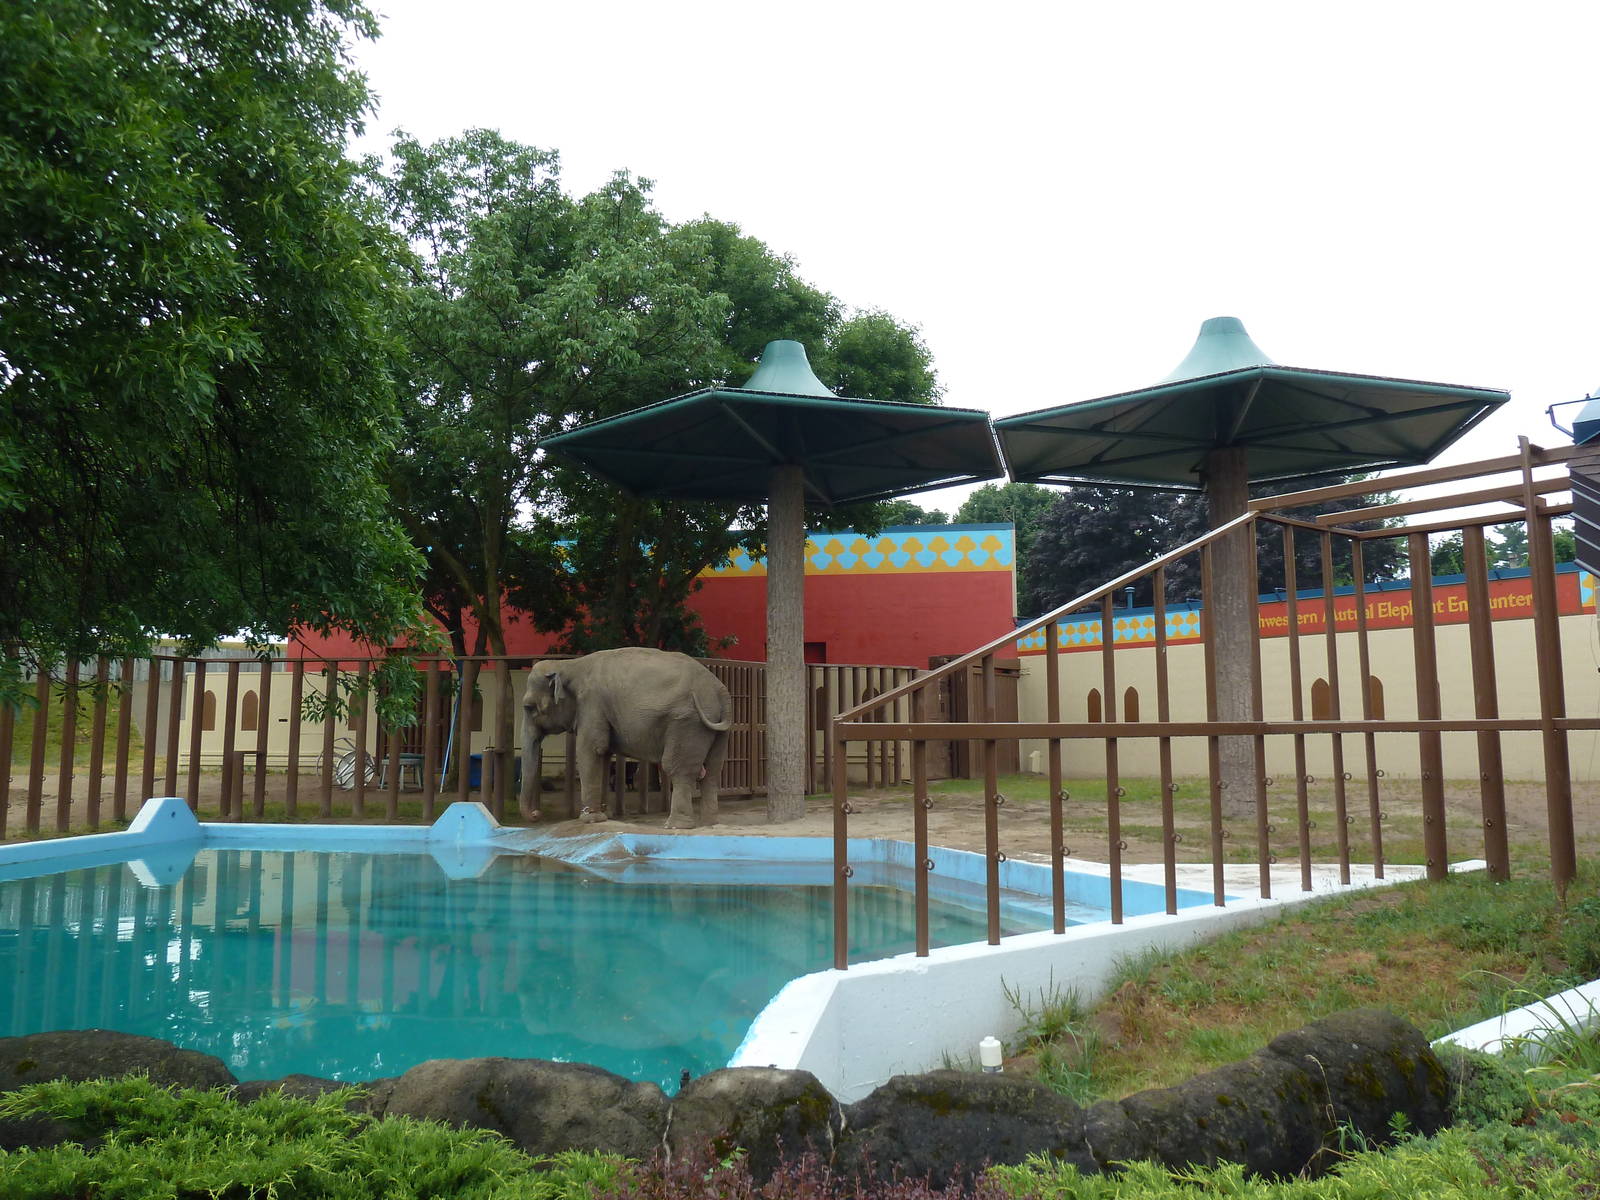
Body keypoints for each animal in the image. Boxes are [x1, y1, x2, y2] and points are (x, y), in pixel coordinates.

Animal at [519, 647, 733, 829]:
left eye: (529, 707)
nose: (537, 814)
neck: (569, 665)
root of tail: (720, 691)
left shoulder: (591, 705)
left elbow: (591, 750)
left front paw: (590, 819)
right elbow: (604, 755)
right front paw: (605, 816)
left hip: (687, 723)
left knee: (678, 769)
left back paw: (676, 826)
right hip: (716, 730)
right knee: (712, 772)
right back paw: (709, 824)